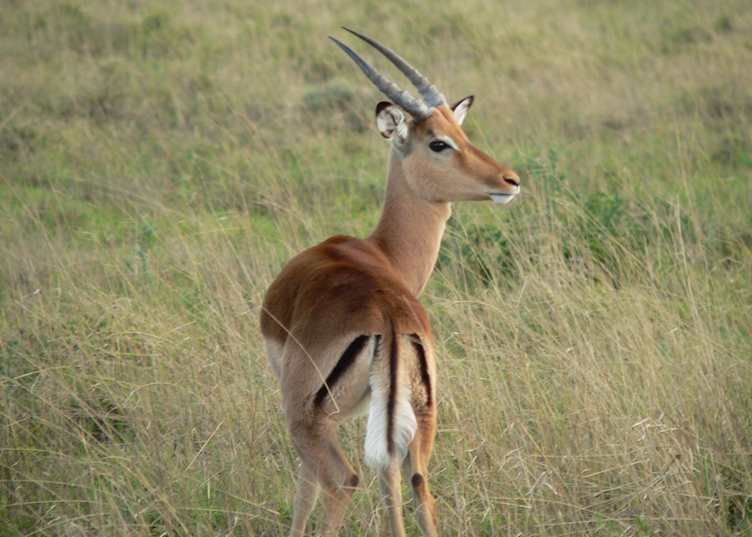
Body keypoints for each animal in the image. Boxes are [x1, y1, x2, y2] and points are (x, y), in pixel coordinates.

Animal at [260, 28, 520, 537]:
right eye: (440, 142)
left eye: (461, 134)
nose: (510, 180)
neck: (377, 252)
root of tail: (389, 320)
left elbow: (304, 491)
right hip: (420, 411)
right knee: (416, 481)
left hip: (308, 417)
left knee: (341, 481)